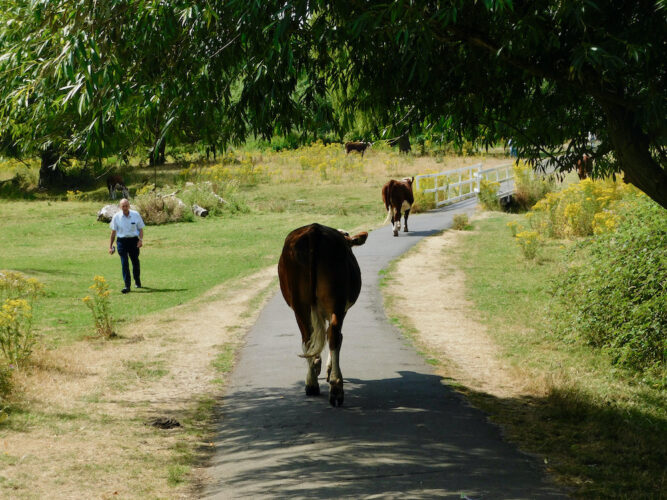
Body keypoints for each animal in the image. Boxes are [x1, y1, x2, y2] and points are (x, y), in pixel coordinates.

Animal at [278, 224, 370, 406]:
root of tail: (314, 230)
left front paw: (317, 363)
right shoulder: (339, 309)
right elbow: (333, 337)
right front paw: (324, 367)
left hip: (300, 305)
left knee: (308, 337)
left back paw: (311, 383)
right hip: (337, 302)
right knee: (333, 335)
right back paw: (336, 387)